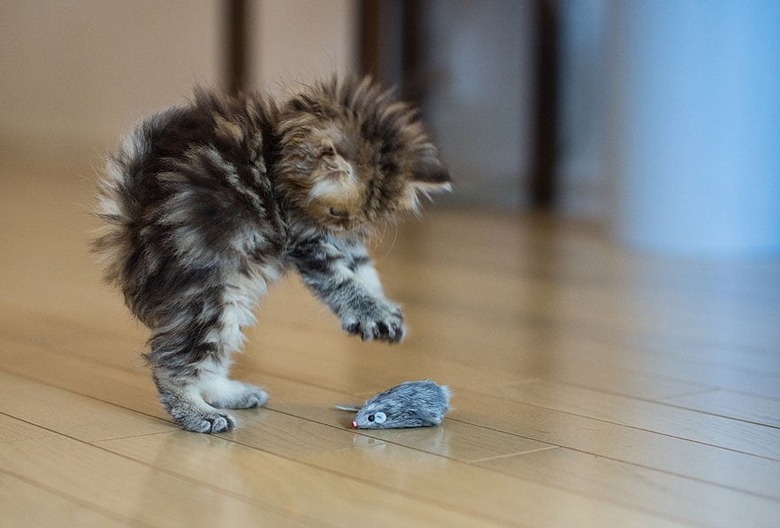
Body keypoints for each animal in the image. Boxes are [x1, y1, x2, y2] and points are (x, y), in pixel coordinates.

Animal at [93, 77, 450, 434]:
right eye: (336, 212)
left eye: (366, 218)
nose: (345, 229)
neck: (277, 155)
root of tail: (133, 230)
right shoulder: (307, 239)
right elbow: (343, 282)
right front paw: (371, 312)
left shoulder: (343, 245)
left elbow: (364, 272)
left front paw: (384, 311)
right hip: (208, 296)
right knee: (171, 362)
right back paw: (200, 413)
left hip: (231, 298)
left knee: (209, 359)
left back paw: (230, 394)